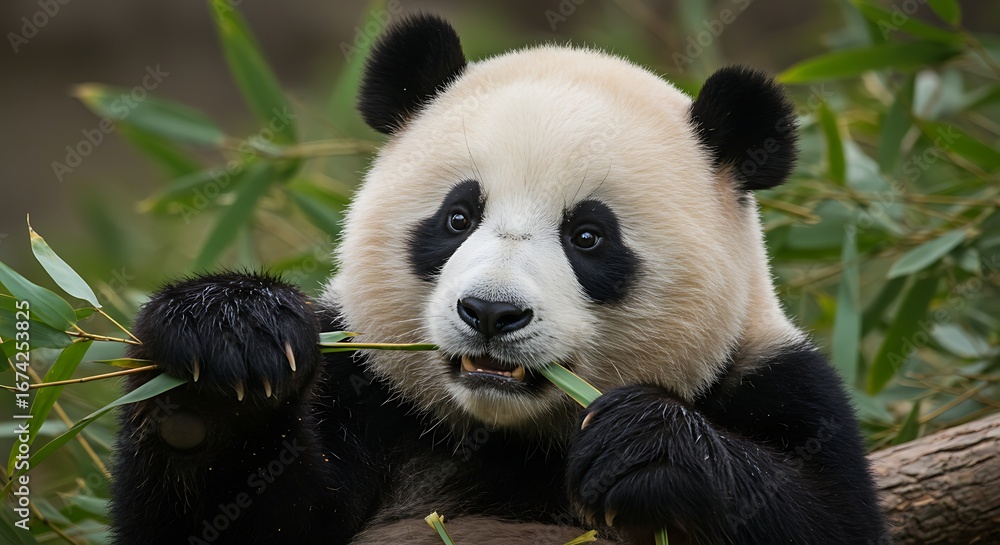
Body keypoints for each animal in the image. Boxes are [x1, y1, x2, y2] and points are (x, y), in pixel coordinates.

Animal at [109, 14, 886, 545]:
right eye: (458, 216)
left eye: (587, 236)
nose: (490, 312)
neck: (508, 437)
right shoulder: (366, 388)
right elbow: (233, 518)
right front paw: (226, 349)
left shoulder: (778, 384)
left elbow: (828, 516)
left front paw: (647, 447)